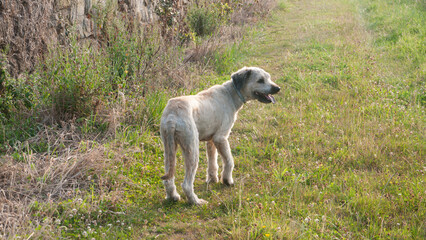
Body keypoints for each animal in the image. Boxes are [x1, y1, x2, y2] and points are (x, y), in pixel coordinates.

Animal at [160, 67, 280, 204]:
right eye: (260, 80)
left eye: (268, 77)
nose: (277, 88)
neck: (231, 93)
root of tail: (172, 115)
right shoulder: (221, 138)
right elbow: (229, 161)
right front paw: (227, 181)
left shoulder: (211, 141)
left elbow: (213, 162)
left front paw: (212, 179)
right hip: (192, 149)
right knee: (186, 184)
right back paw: (196, 201)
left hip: (169, 148)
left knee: (168, 179)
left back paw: (173, 197)